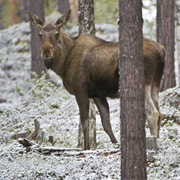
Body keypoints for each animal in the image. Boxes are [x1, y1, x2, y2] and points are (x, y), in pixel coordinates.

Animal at [28, 10, 166, 150]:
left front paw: (86, 148)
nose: (46, 52)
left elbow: (85, 122)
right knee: (160, 113)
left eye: (56, 34)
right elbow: (106, 123)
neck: (62, 65)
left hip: (143, 84)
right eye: (40, 34)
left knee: (153, 114)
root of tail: (161, 51)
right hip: (155, 84)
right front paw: (116, 145)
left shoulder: (80, 89)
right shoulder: (98, 95)